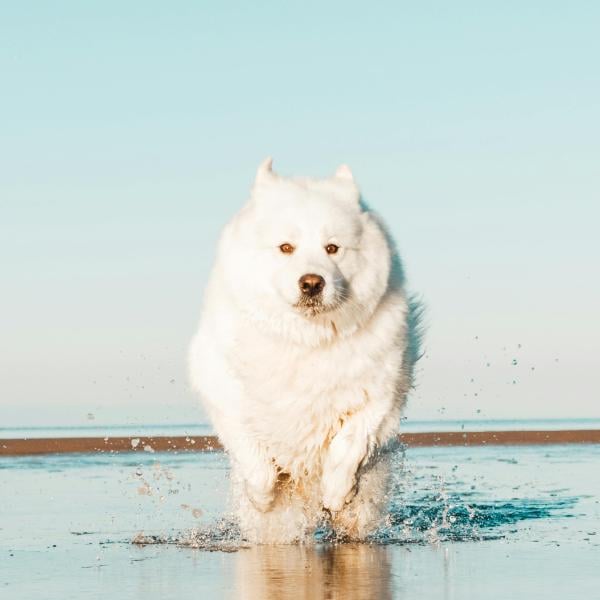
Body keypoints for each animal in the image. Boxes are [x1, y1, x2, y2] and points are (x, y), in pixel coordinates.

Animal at [188, 159, 418, 544]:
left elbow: (351, 441)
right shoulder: (218, 382)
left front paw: (337, 491)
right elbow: (250, 448)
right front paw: (263, 495)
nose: (312, 283)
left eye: (332, 248)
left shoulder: (381, 389)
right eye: (286, 247)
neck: (308, 340)